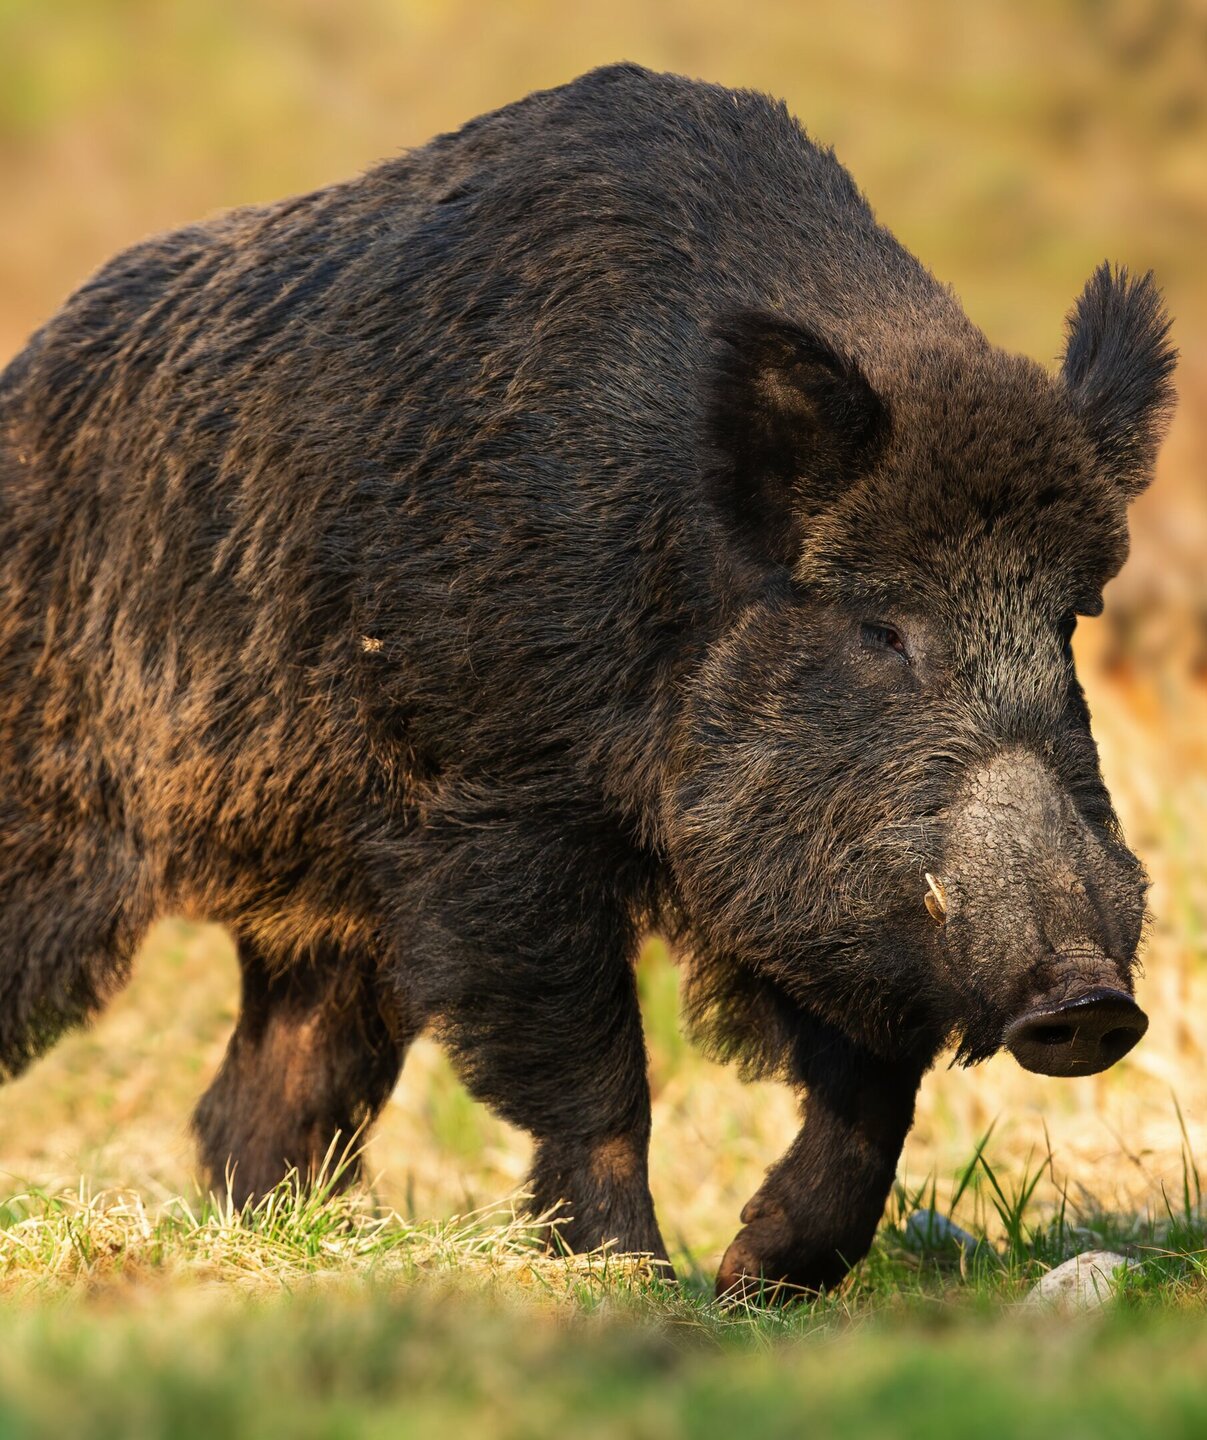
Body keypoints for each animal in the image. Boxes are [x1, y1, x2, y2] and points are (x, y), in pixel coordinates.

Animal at [0, 64, 1175, 1299]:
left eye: (1067, 618)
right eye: (881, 627)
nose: (1090, 998)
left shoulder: (793, 885)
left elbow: (873, 1090)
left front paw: (754, 1276)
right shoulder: (493, 816)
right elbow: (600, 1079)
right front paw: (638, 1283)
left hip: (328, 922)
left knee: (260, 1097)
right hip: (53, 820)